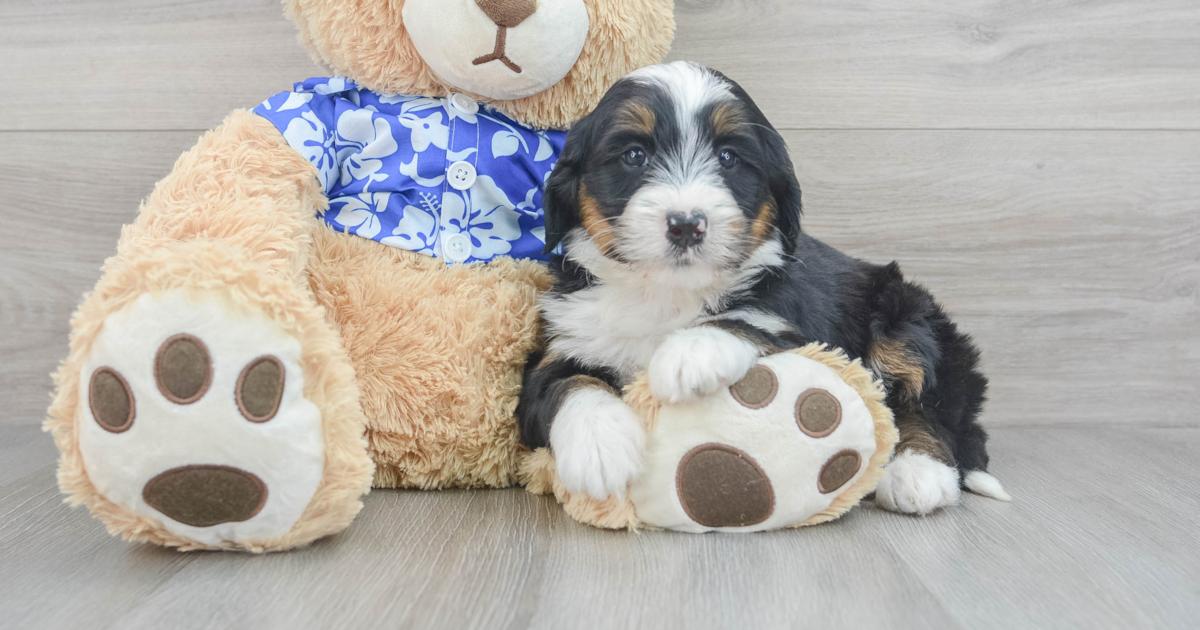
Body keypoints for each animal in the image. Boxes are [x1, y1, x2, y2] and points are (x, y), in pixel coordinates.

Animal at [516, 61, 1012, 513]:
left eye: (729, 158)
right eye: (634, 155)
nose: (686, 224)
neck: (665, 292)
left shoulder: (800, 329)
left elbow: (746, 321)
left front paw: (688, 354)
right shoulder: (564, 343)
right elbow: (567, 386)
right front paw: (601, 449)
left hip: (905, 317)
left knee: (931, 408)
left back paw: (918, 473)